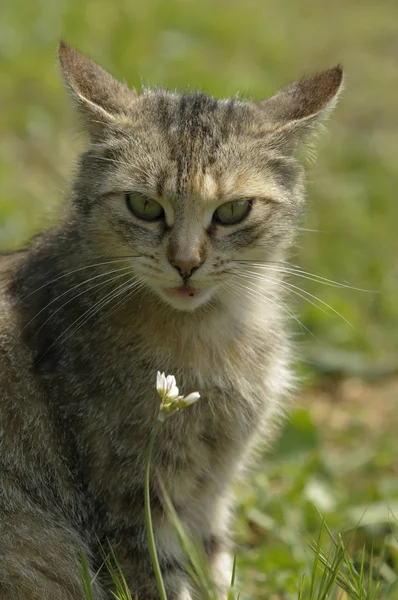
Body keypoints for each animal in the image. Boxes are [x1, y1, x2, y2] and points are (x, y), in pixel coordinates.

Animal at [0, 43, 342, 600]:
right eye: (143, 205)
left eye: (233, 211)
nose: (186, 263)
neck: (218, 337)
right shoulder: (133, 500)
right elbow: (162, 578)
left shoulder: (212, 494)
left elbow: (216, 565)